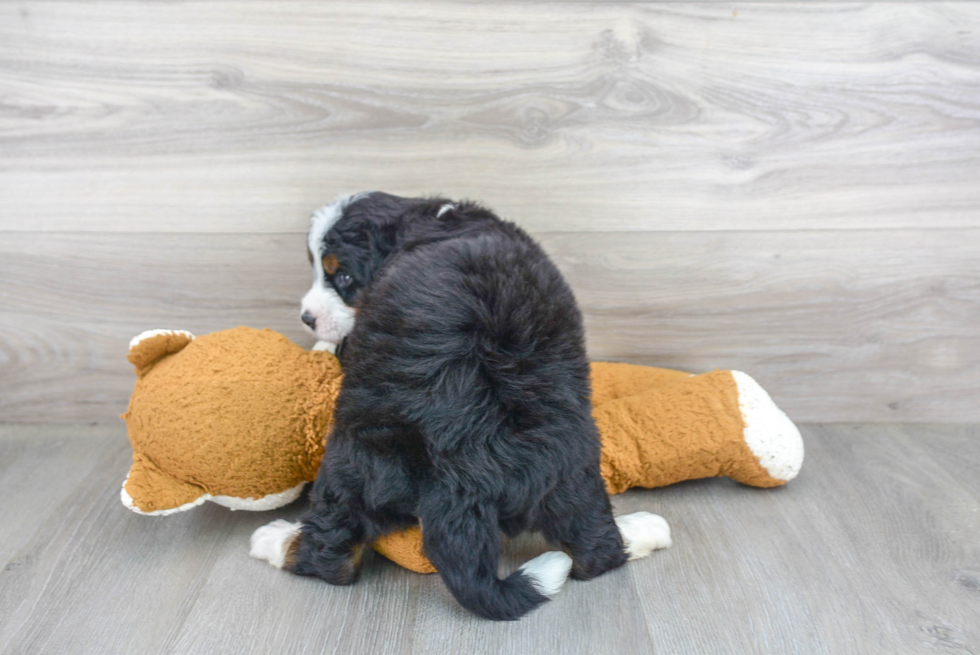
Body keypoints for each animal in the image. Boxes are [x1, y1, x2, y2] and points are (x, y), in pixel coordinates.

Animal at [249, 191, 668, 620]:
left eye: (344, 278)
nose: (307, 318)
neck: (430, 222)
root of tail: (467, 472)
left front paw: (323, 344)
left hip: (352, 458)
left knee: (330, 555)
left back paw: (275, 539)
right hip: (574, 471)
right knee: (596, 548)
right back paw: (641, 529)